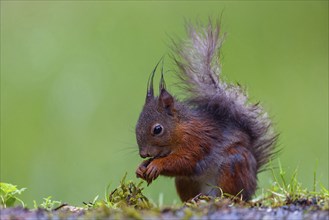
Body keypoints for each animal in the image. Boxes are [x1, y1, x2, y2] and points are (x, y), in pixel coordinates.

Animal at [135, 21, 276, 202]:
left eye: (157, 129)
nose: (143, 154)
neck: (181, 129)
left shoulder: (197, 141)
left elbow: (184, 162)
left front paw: (156, 165)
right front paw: (141, 167)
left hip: (233, 166)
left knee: (232, 195)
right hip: (185, 182)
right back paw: (195, 200)